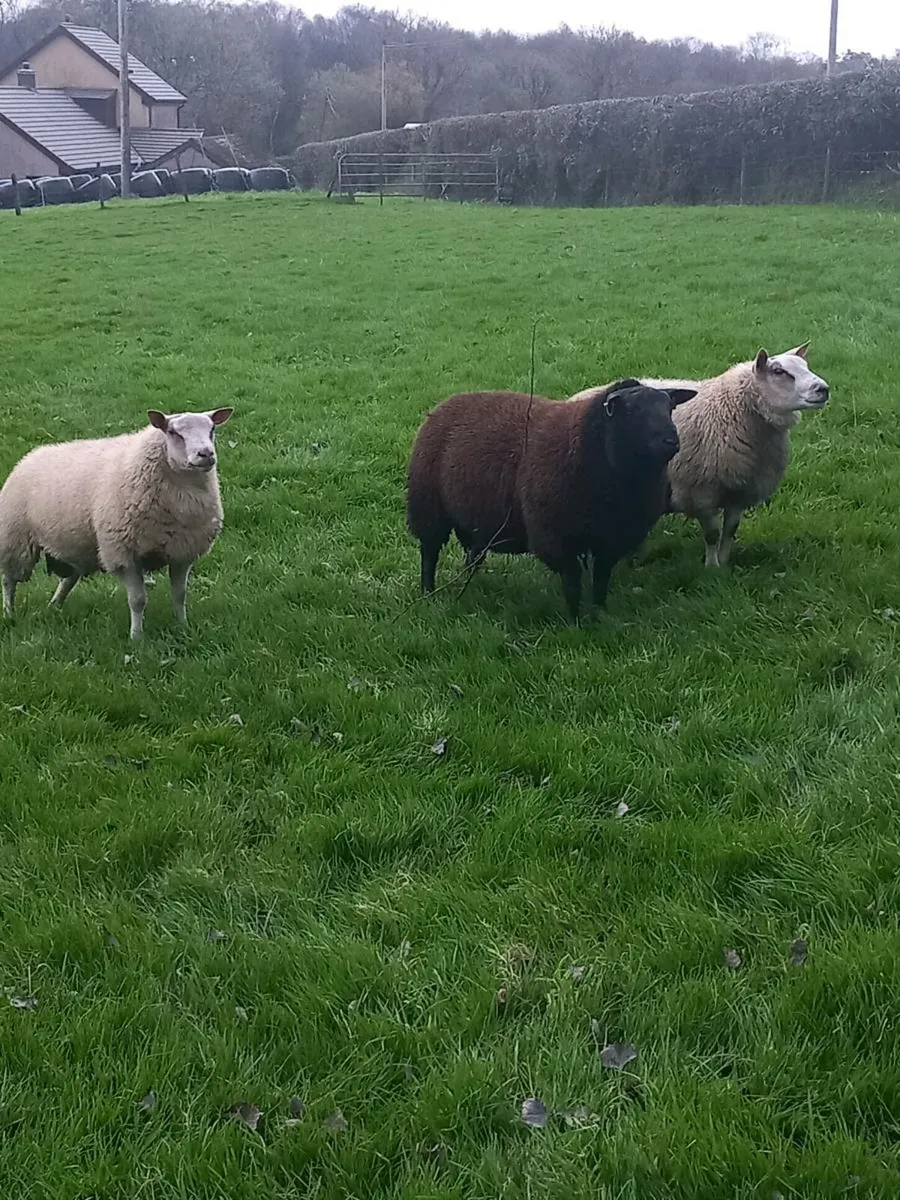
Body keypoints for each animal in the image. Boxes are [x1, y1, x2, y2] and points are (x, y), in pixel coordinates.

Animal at [0, 408, 233, 639]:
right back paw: (9, 614)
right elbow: (137, 601)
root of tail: (31, 455)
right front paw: (136, 638)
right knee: (9, 581)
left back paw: (54, 605)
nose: (206, 454)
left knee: (67, 579)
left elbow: (180, 595)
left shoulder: (182, 552)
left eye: (212, 429)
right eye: (173, 432)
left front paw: (183, 627)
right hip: (16, 541)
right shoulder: (124, 554)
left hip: (79, 547)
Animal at [406, 379, 697, 621]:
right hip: (428, 507)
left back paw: (470, 586)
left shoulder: (610, 538)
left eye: (670, 408)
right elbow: (572, 581)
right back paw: (428, 593)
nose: (671, 441)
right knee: (429, 553)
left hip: (478, 519)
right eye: (632, 412)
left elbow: (601, 579)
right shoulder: (556, 536)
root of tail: (448, 402)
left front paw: (600, 612)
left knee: (472, 556)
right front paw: (575, 621)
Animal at [640, 343, 829, 567]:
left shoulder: (741, 491)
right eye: (779, 371)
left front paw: (724, 563)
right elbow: (712, 535)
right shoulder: (701, 494)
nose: (824, 389)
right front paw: (711, 567)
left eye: (805, 366)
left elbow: (730, 531)